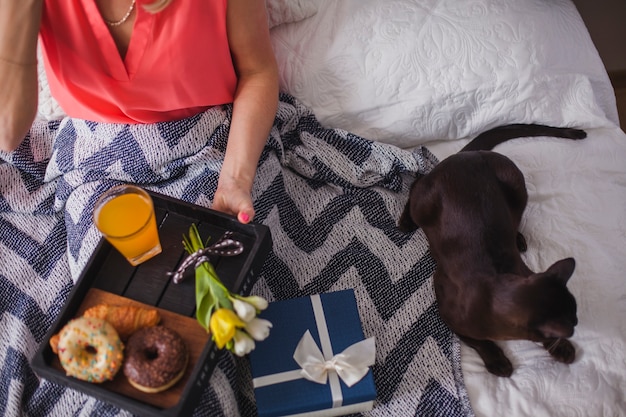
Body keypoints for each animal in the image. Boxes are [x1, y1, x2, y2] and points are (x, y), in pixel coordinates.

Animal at [400, 123, 584, 376]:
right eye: (573, 322)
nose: (577, 325)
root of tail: (462, 156)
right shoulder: (446, 311)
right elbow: (478, 342)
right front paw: (499, 364)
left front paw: (563, 350)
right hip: (424, 206)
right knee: (415, 183)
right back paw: (404, 223)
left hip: (516, 186)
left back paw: (519, 240)